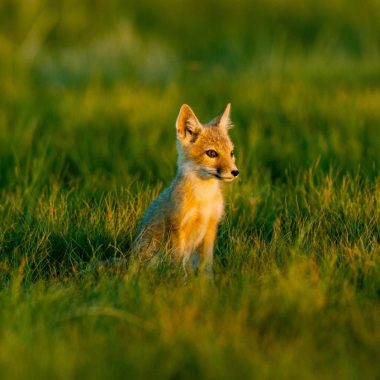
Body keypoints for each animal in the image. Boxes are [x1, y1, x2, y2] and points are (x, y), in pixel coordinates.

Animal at [134, 104, 239, 276]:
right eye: (212, 153)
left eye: (231, 153)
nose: (235, 172)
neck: (204, 199)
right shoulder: (177, 228)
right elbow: (178, 264)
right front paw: (181, 281)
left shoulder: (210, 228)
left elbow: (206, 265)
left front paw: (207, 282)